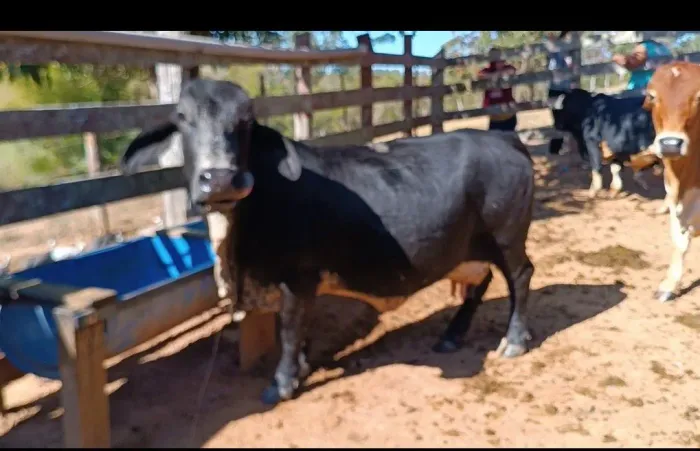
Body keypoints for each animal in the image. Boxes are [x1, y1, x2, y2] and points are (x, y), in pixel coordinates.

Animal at [120, 78, 537, 405]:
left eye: (246, 122)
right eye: (181, 118)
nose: (220, 179)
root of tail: (503, 139)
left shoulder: (298, 278)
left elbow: (290, 332)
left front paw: (282, 383)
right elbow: (301, 331)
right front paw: (302, 369)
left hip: (508, 238)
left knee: (520, 276)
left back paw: (515, 340)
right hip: (470, 249)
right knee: (480, 283)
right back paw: (452, 335)